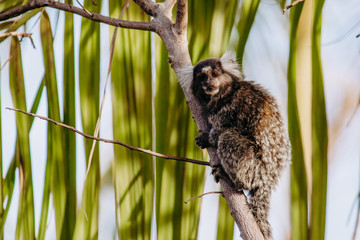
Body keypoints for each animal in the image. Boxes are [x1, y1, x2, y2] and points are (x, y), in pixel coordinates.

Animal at [191, 52, 290, 238]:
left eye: (214, 74)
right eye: (202, 77)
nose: (208, 83)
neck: (224, 93)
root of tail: (269, 180)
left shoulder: (230, 108)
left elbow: (221, 131)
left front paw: (207, 138)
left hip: (254, 168)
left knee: (228, 138)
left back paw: (232, 177)